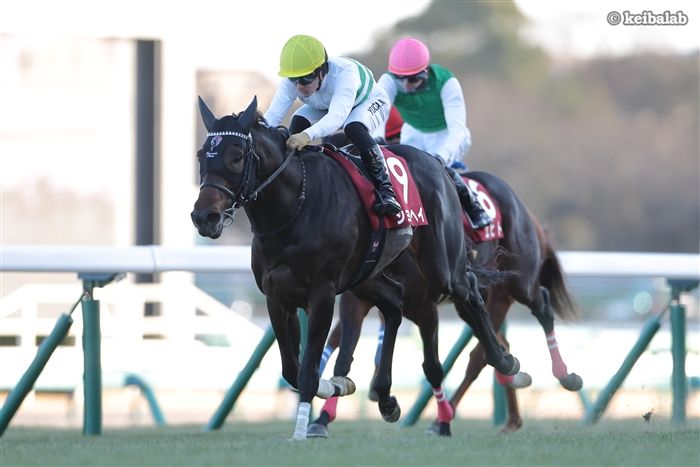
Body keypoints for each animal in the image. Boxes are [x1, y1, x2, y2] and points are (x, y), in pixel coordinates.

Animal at [190, 96, 519, 440]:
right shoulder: (277, 297)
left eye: (237, 156)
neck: (293, 208)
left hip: (439, 267)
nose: (204, 217)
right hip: (366, 278)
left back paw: (503, 360)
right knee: (394, 304)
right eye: (202, 155)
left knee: (468, 289)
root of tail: (436, 162)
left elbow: (307, 370)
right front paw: (336, 385)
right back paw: (386, 397)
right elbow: (292, 369)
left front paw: (301, 430)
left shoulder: (321, 294)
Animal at [307, 171, 583, 437]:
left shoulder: (424, 308)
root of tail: (528, 214)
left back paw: (564, 376)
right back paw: (512, 407)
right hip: (480, 302)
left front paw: (441, 420)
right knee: (491, 347)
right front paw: (322, 419)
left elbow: (432, 366)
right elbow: (344, 354)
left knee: (539, 309)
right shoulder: (356, 299)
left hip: (518, 281)